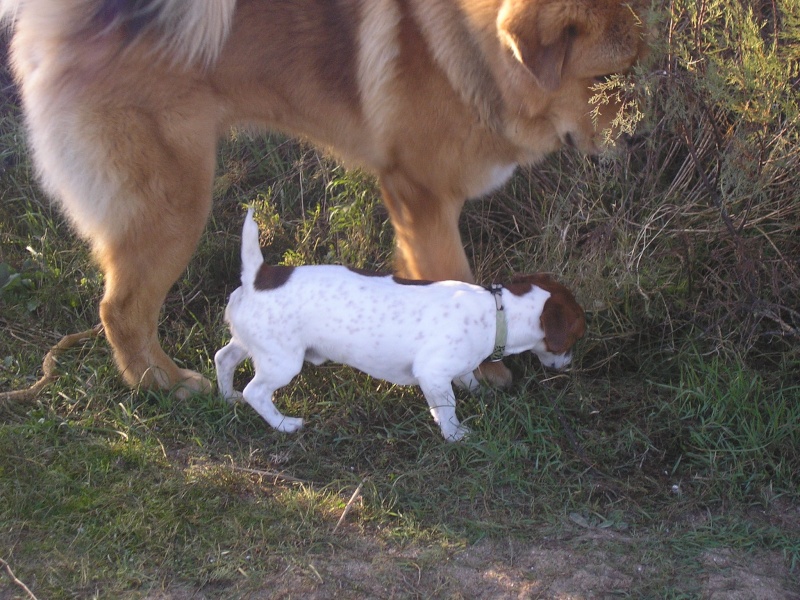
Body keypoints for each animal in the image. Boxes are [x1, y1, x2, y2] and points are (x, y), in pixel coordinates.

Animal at [1, 1, 644, 398]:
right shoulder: (424, 196)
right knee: (122, 309)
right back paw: (163, 383)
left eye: (634, 69)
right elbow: (456, 279)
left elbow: (418, 275)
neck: (469, 49)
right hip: (173, 204)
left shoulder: (413, 207)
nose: (638, 139)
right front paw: (483, 368)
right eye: (605, 78)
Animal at [216, 211, 584, 440]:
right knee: (256, 391)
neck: (498, 311)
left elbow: (468, 380)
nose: (569, 366)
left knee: (224, 358)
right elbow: (446, 408)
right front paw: (456, 435)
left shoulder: (457, 367)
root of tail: (259, 276)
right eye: (572, 341)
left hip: (251, 345)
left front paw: (480, 394)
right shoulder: (432, 373)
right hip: (283, 362)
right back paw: (284, 424)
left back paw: (227, 396)